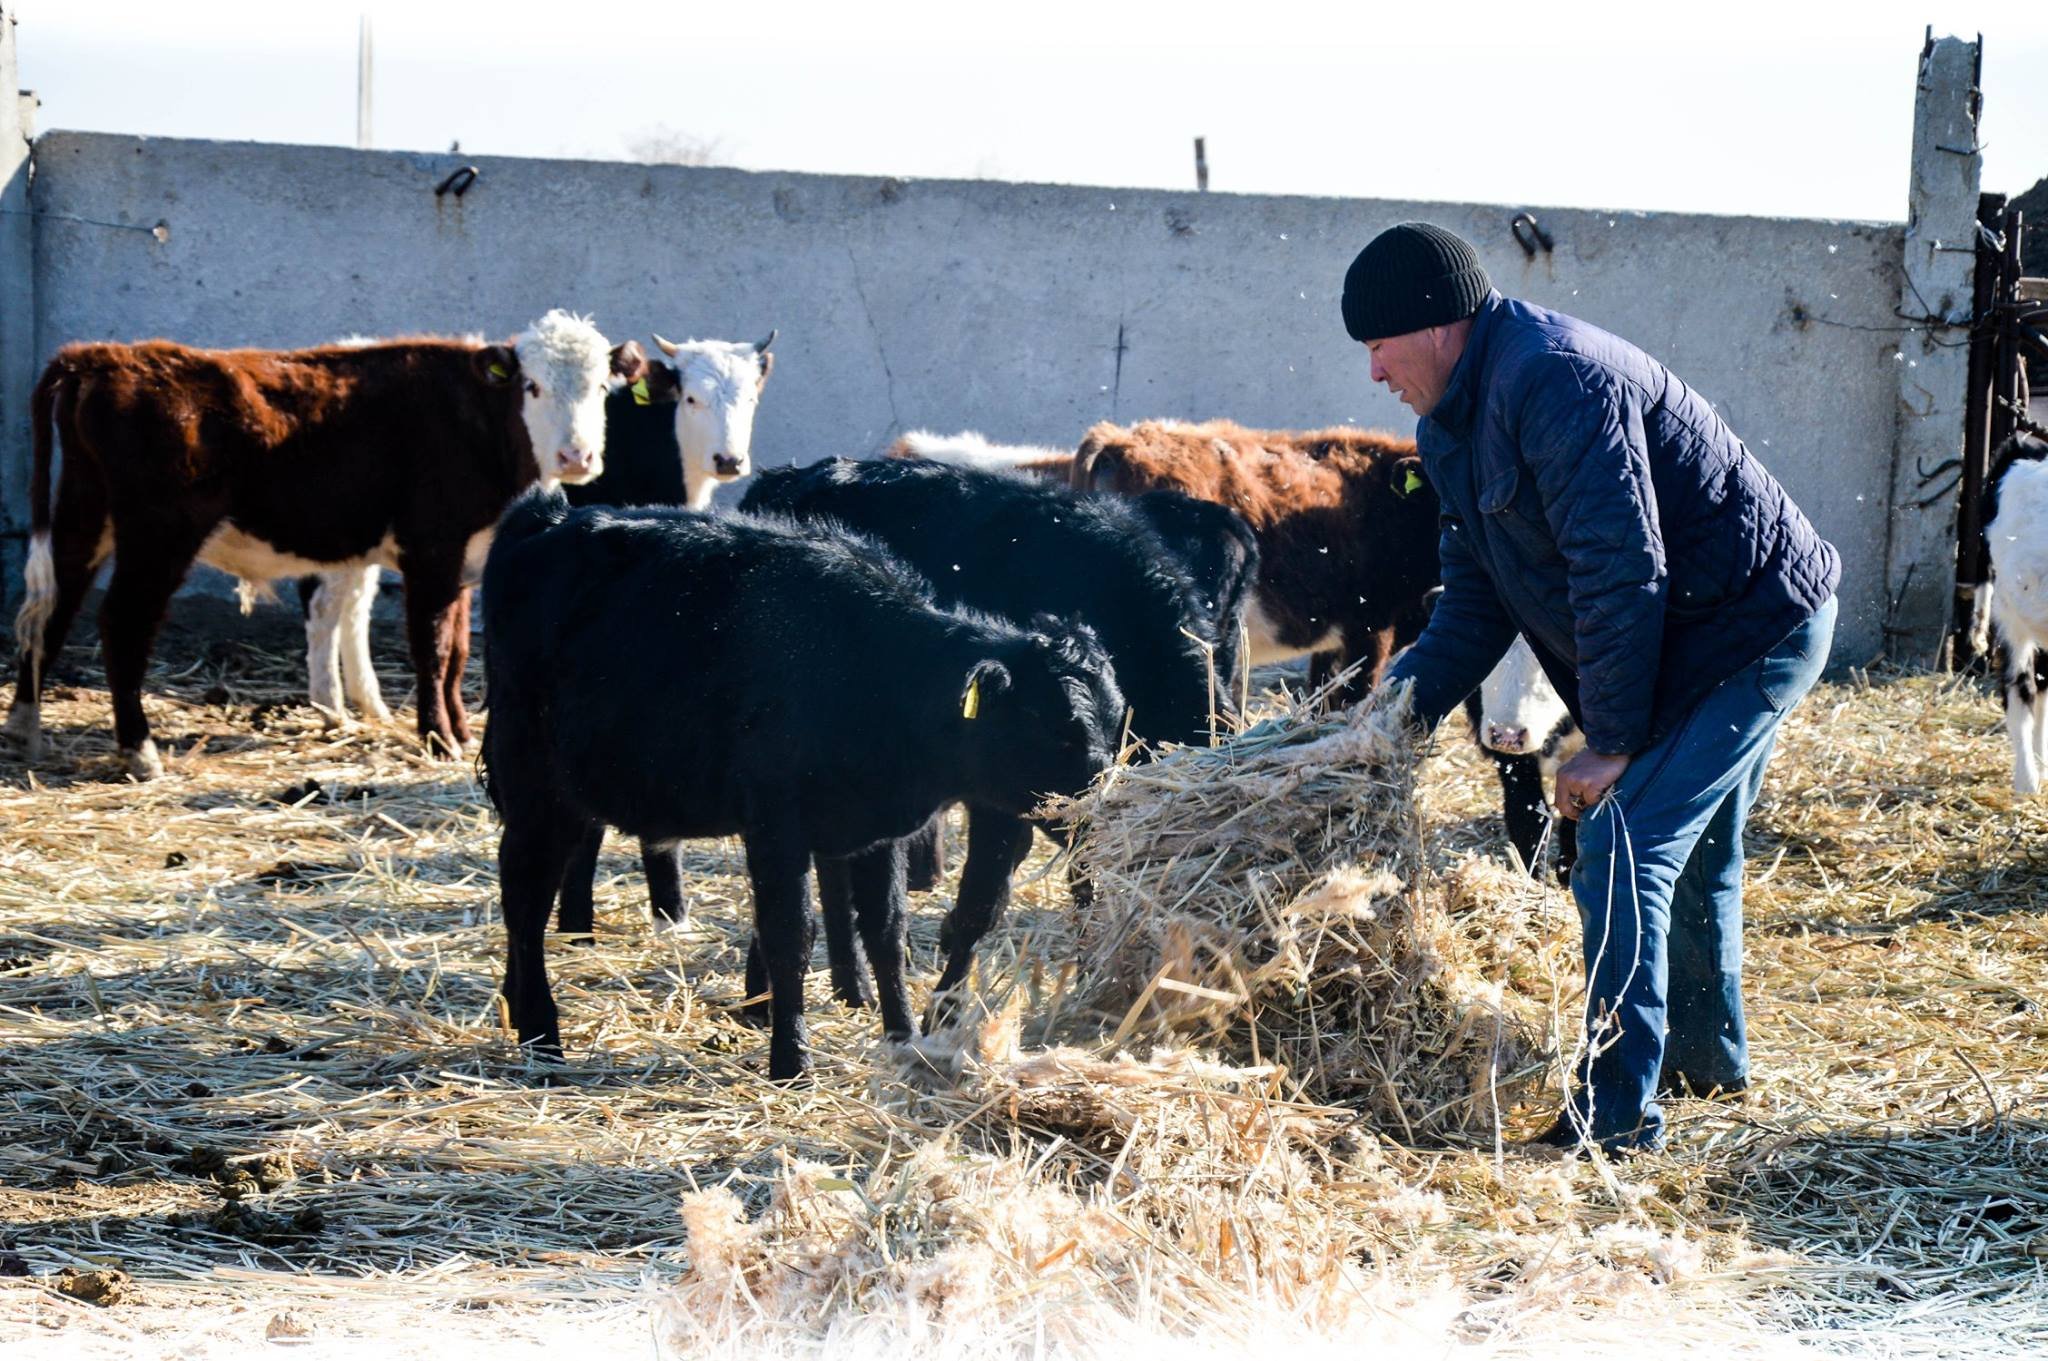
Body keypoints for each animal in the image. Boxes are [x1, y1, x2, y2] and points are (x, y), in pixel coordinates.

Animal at [6, 306, 638, 773]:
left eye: (600, 387)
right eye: (532, 386)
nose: (577, 456)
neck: (475, 423)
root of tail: (103, 357)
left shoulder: (463, 561)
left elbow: (458, 651)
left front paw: (458, 730)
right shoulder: (432, 551)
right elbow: (432, 649)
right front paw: (438, 738)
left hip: (84, 517)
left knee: (54, 610)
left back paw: (22, 726)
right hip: (159, 536)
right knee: (121, 623)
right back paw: (138, 750)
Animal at [477, 489, 1122, 1072]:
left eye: (1116, 721)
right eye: (1053, 727)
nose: (1100, 804)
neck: (873, 669)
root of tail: (546, 513)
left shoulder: (880, 831)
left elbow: (886, 931)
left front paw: (902, 1037)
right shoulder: (776, 827)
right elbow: (790, 935)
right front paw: (791, 1059)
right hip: (533, 783)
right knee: (524, 896)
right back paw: (543, 1036)